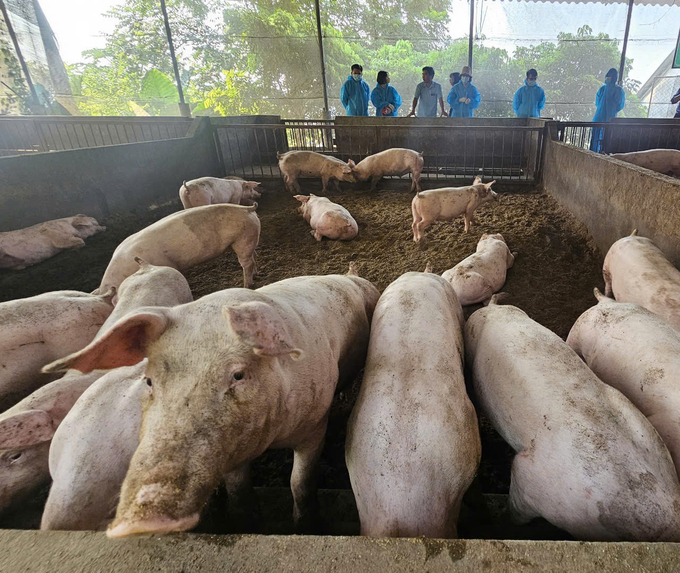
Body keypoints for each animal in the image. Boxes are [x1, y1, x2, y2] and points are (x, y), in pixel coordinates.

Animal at [41, 264, 382, 536]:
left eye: (238, 375)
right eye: (149, 380)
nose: (141, 520)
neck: (271, 437)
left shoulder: (314, 425)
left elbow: (301, 482)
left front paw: (305, 528)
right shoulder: (233, 453)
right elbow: (239, 493)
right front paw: (246, 526)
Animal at [93, 202, 258, 294]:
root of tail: (246, 208)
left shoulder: (164, 263)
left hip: (242, 238)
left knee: (247, 263)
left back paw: (246, 285)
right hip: (250, 238)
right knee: (253, 256)